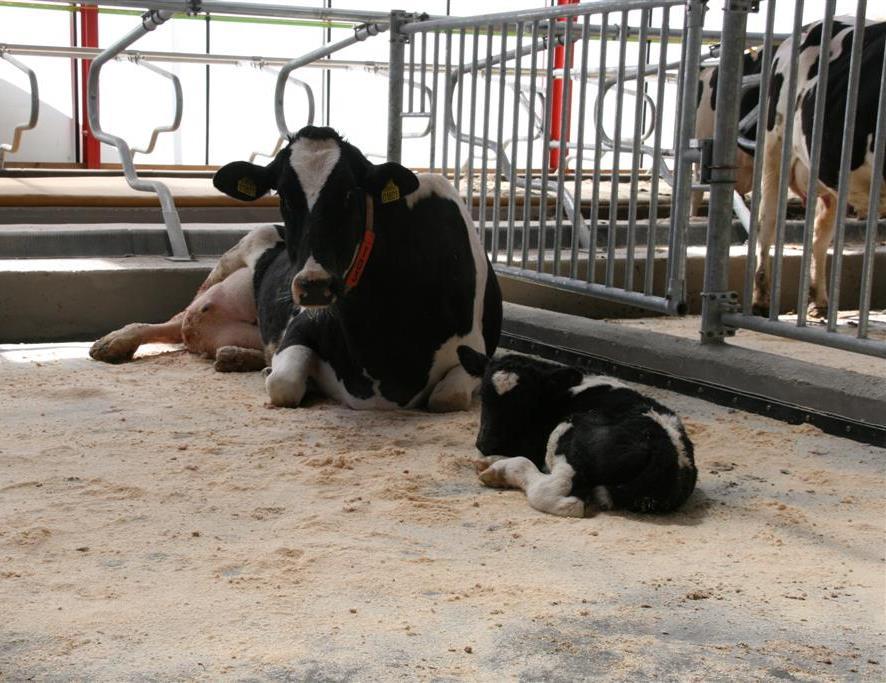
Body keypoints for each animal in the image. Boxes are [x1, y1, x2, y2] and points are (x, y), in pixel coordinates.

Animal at [94, 128, 506, 414]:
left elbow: (447, 397)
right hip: (233, 257)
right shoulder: (303, 324)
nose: (314, 286)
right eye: (282, 194)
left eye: (350, 193)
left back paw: (234, 356)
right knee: (178, 320)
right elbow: (284, 384)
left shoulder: (475, 352)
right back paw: (114, 342)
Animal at [458, 348, 700, 520]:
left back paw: (498, 470)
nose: (486, 443)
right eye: (484, 397)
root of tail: (667, 451)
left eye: (524, 404)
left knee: (556, 496)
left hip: (568, 436)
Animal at [752, 18, 886, 318]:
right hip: (774, 145)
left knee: (819, 235)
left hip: (832, 179)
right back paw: (760, 301)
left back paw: (820, 301)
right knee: (767, 222)